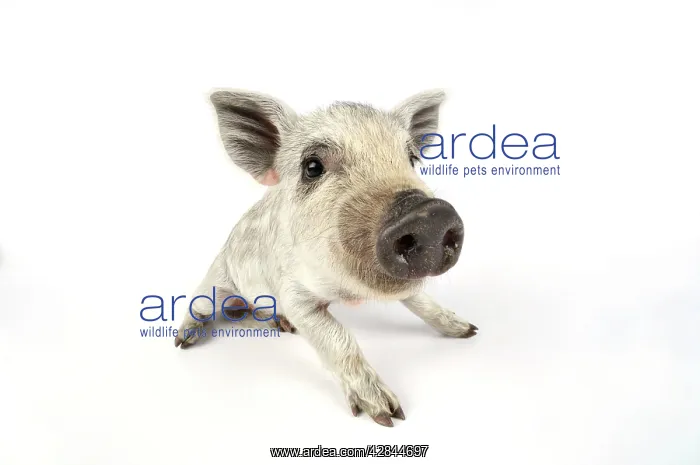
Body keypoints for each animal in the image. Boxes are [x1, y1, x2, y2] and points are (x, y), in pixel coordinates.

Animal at [174, 89, 478, 427]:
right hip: (217, 278)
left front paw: (468, 330)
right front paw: (388, 415)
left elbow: (423, 302)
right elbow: (338, 338)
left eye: (411, 159)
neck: (346, 292)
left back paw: (282, 326)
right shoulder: (294, 293)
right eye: (313, 166)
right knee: (199, 302)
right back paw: (185, 340)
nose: (429, 214)